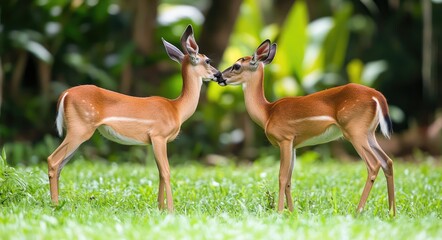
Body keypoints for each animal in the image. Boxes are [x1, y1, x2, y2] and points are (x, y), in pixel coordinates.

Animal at [47, 24, 223, 212]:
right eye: (208, 60)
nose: (219, 74)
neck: (177, 109)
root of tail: (65, 94)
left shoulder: (154, 141)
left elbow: (160, 173)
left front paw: (160, 207)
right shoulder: (159, 135)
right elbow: (167, 172)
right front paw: (170, 209)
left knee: (60, 165)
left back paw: (57, 201)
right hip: (80, 128)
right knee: (53, 160)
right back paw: (55, 204)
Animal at [218, 39, 398, 216]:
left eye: (236, 66)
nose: (219, 76)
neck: (267, 113)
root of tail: (377, 96)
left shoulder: (285, 138)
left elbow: (282, 177)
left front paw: (280, 211)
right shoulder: (294, 144)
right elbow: (289, 180)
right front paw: (291, 212)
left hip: (354, 130)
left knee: (374, 164)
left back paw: (358, 211)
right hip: (369, 132)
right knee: (387, 161)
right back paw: (392, 212)